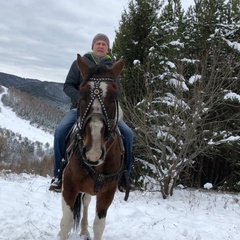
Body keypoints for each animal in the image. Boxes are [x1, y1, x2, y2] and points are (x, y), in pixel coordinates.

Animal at [58, 54, 125, 240]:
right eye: (82, 94)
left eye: (114, 95)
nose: (93, 151)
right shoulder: (69, 185)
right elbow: (66, 223)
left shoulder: (107, 193)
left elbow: (99, 226)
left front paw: (90, 229)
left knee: (86, 202)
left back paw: (84, 230)